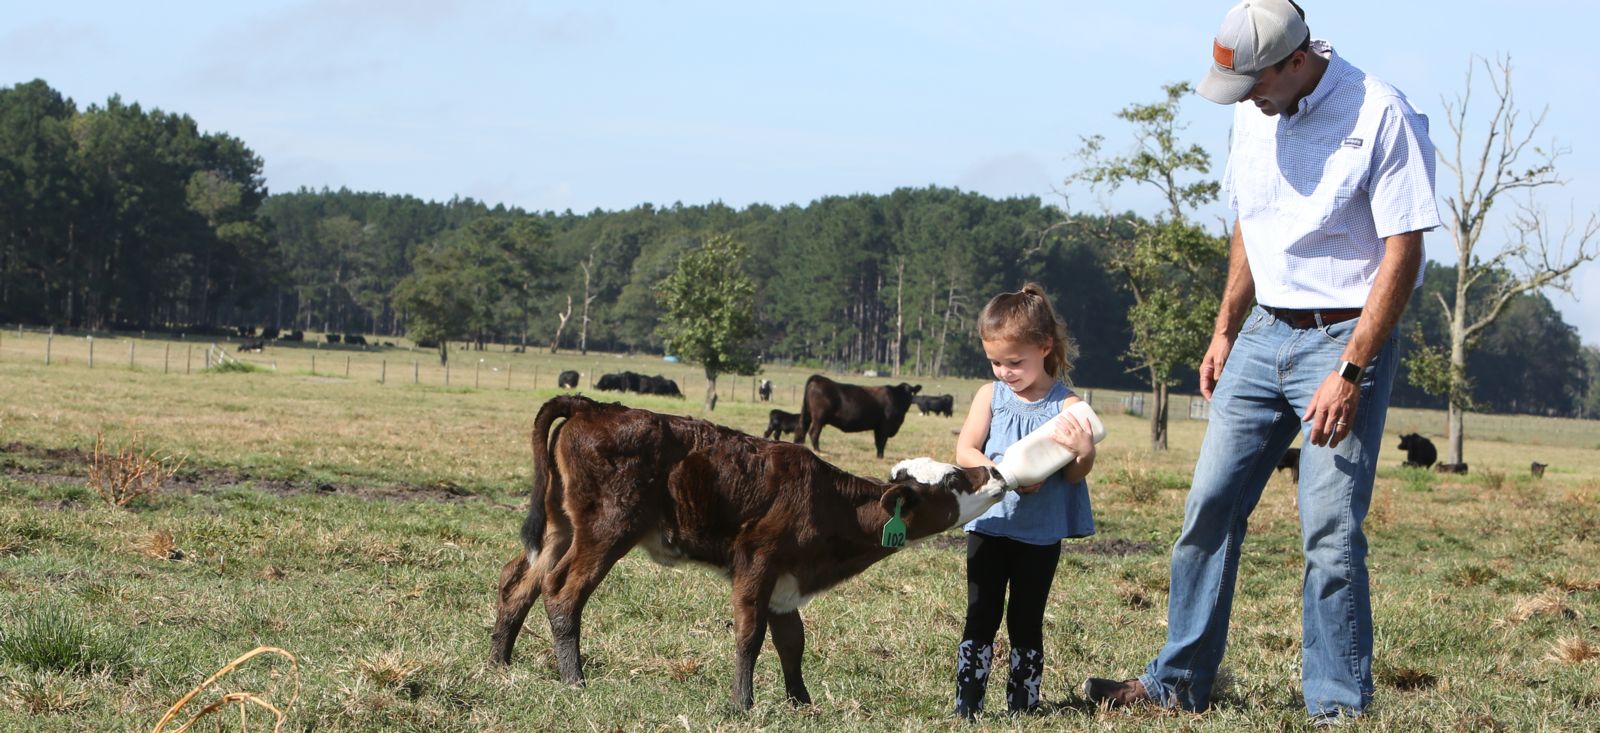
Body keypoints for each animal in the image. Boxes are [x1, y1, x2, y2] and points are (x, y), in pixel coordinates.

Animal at [486, 395, 1011, 710]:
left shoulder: (786, 583)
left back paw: (499, 662)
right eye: (953, 479)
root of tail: (594, 406)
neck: (825, 500)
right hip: (606, 529)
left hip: (559, 525)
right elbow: (749, 636)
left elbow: (792, 642)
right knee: (562, 591)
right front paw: (744, 703)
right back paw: (574, 679)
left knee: (518, 580)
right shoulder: (757, 564)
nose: (995, 473)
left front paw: (801, 702)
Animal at [793, 374, 921, 454]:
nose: (907, 399)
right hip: (819, 417)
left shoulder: (878, 427)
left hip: (808, 414)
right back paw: (818, 450)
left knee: (801, 428)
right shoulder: (885, 426)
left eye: (911, 392)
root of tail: (819, 378)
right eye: (904, 393)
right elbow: (881, 443)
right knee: (814, 432)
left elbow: (878, 442)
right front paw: (880, 457)